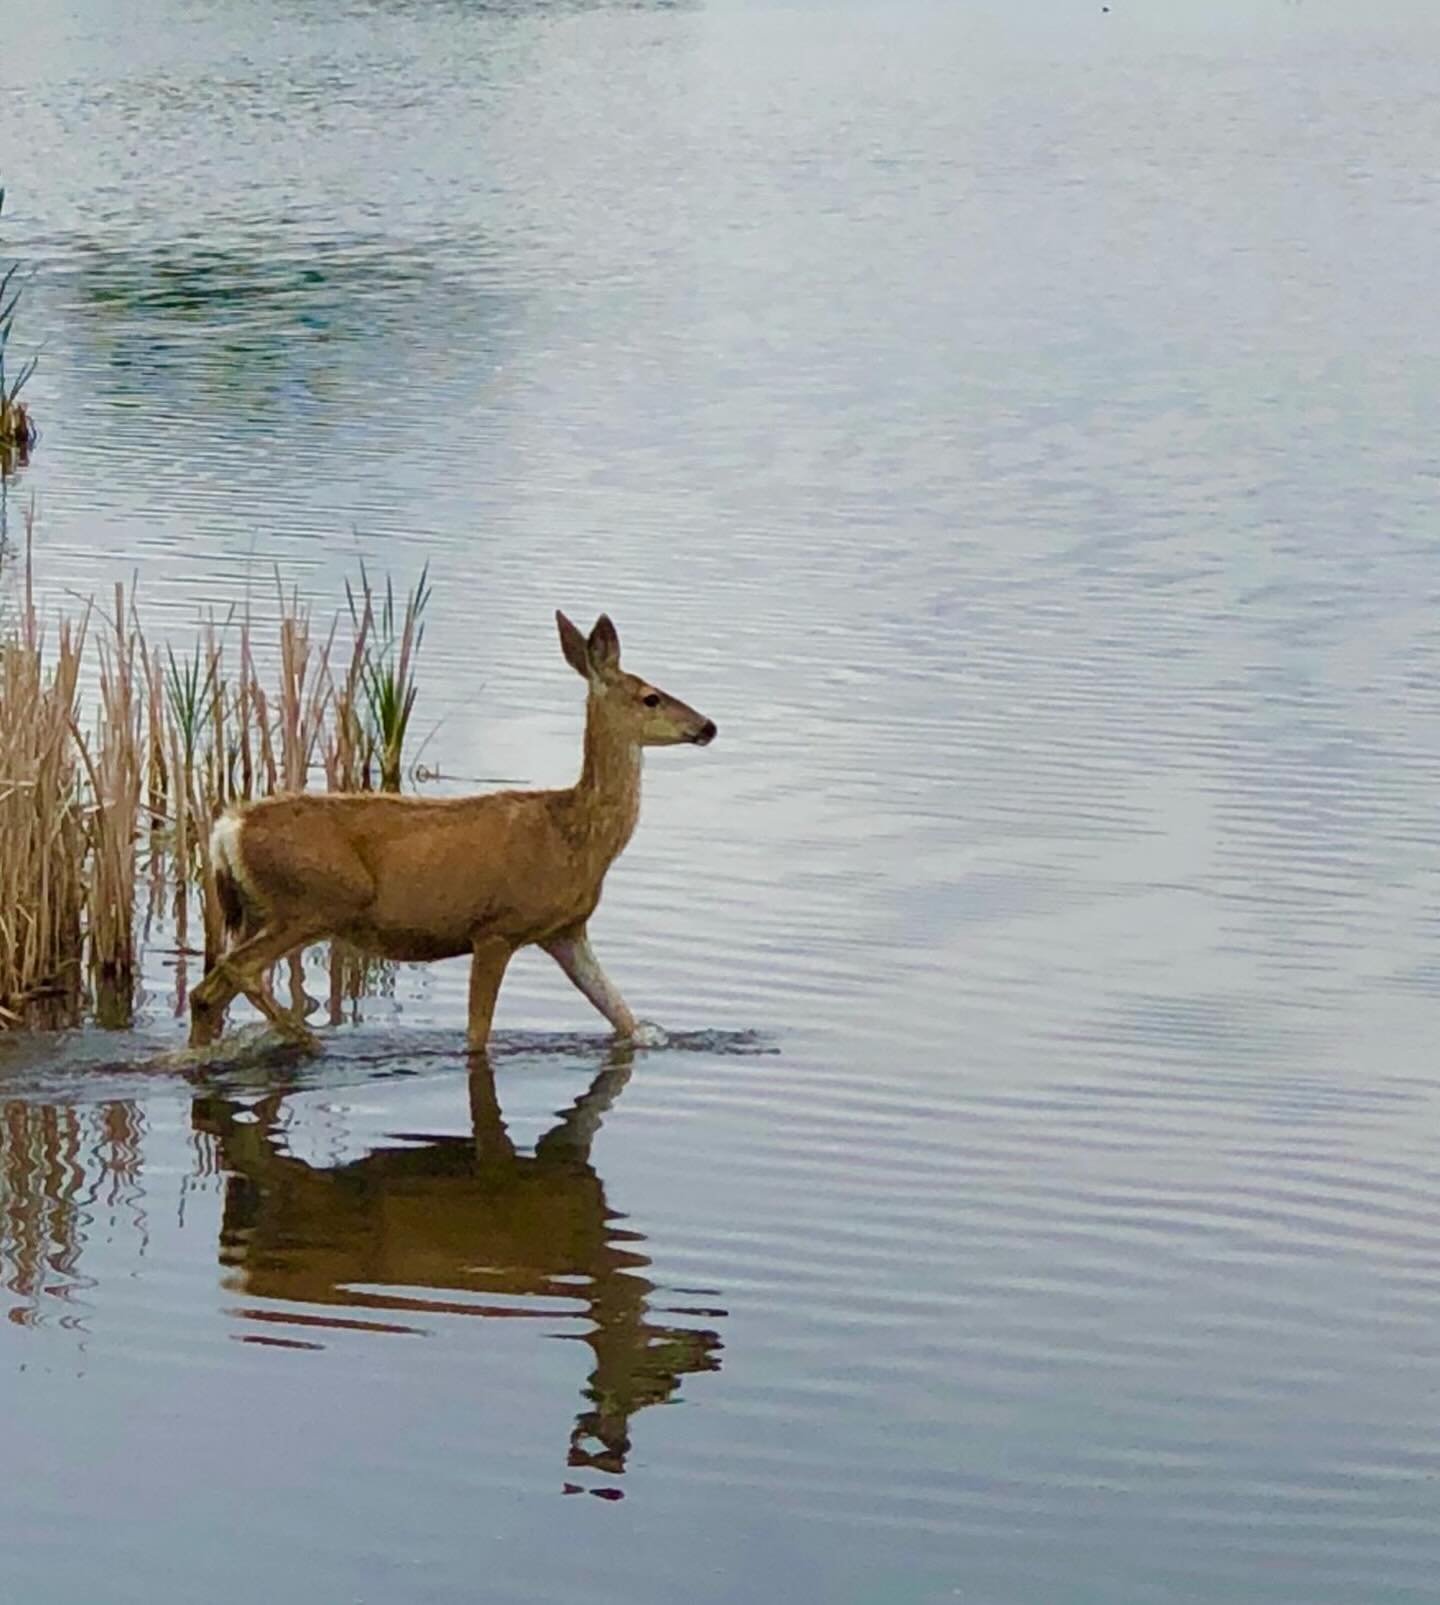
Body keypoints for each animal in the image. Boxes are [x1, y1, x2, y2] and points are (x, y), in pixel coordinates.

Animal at [188, 612, 717, 1052]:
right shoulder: (497, 928)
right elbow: (478, 1037)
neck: (576, 834)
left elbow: (623, 1018)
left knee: (207, 991)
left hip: (259, 910)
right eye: (651, 697)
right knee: (228, 975)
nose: (708, 726)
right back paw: (304, 1040)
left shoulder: (566, 931)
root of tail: (227, 828)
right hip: (313, 902)